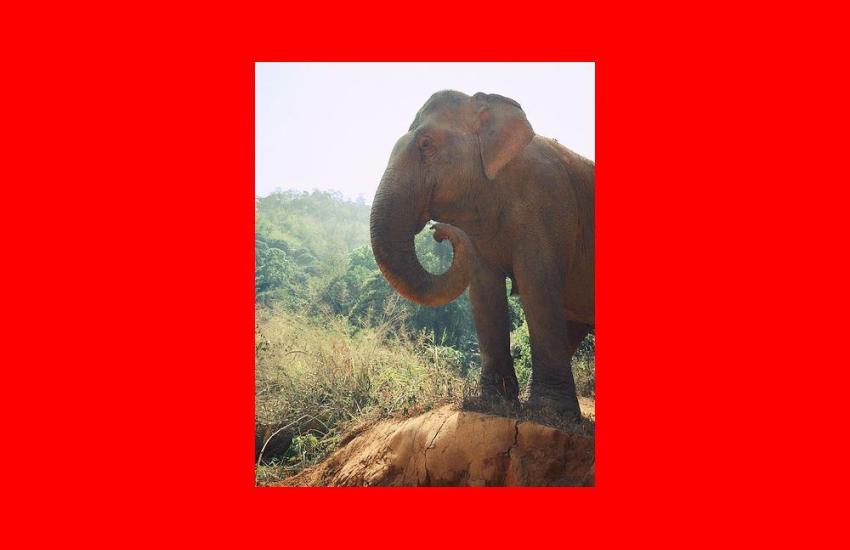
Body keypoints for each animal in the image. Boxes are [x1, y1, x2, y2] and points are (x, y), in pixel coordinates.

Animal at [370, 90, 594, 418]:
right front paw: (491, 403)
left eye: (426, 144)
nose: (438, 231)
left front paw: (548, 413)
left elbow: (536, 286)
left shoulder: (548, 206)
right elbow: (484, 292)